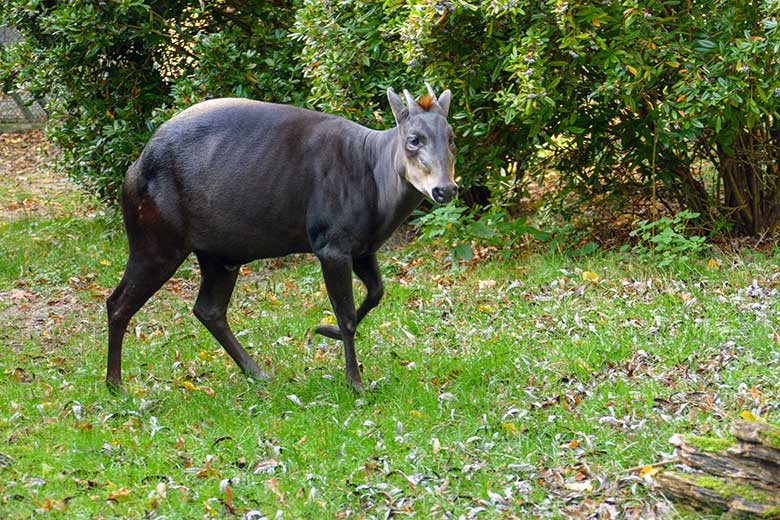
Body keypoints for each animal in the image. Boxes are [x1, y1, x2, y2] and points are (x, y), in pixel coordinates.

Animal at [104, 84, 458, 394]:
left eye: (451, 137)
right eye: (413, 140)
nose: (446, 189)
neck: (374, 176)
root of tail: (133, 169)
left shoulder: (362, 248)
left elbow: (376, 293)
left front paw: (325, 331)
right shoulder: (330, 243)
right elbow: (346, 316)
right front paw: (355, 383)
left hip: (219, 254)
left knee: (209, 309)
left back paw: (257, 372)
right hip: (155, 241)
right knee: (117, 303)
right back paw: (116, 386)